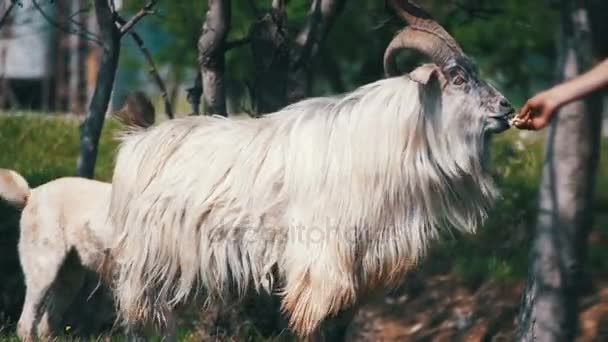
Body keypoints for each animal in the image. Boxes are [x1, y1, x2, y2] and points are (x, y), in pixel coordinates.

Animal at [108, 0, 512, 336]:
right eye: (458, 79)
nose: (506, 108)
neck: (377, 144)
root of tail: (136, 141)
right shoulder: (322, 262)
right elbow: (315, 321)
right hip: (146, 262)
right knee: (140, 317)